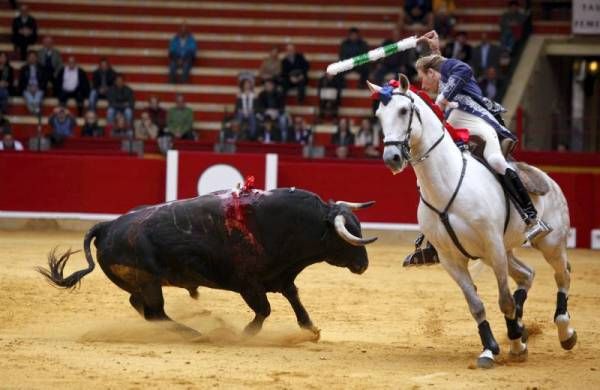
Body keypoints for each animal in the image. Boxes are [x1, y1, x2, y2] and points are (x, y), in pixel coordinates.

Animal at [38, 187, 376, 336]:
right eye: (347, 237)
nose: (363, 265)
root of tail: (107, 226)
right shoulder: (249, 284)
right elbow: (264, 310)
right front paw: (245, 335)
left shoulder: (280, 277)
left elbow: (294, 298)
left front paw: (310, 328)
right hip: (149, 282)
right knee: (155, 313)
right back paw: (195, 333)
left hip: (142, 283)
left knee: (142, 308)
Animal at [370, 75, 576, 368]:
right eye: (378, 115)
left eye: (403, 110)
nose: (392, 158)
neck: (447, 183)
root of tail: (547, 178)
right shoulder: (451, 259)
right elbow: (476, 304)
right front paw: (491, 347)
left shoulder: (492, 246)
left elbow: (504, 301)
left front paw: (515, 345)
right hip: (505, 251)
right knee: (527, 275)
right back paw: (523, 328)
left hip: (550, 243)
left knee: (562, 275)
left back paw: (564, 332)